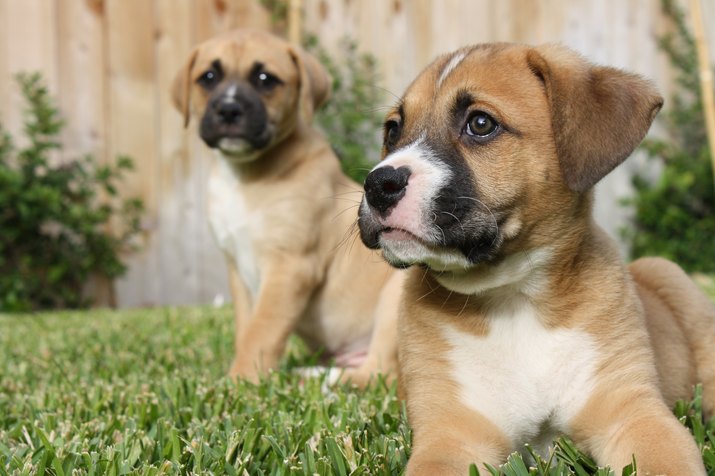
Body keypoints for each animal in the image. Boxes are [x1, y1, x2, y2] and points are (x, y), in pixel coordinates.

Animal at [171, 28, 400, 386]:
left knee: (379, 374)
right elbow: (247, 329)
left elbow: (262, 332)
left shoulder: (290, 266)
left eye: (266, 79)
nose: (228, 109)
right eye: (208, 77)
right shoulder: (238, 270)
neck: (245, 176)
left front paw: (240, 381)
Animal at [358, 42, 715, 474]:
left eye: (480, 124)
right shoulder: (451, 434)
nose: (378, 185)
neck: (514, 298)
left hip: (671, 279)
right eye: (393, 130)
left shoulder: (635, 414)